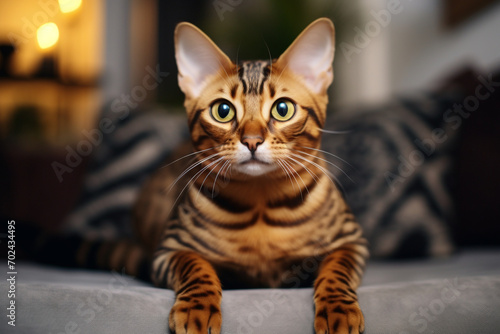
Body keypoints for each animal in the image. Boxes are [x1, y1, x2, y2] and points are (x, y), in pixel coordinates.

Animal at [131, 18, 370, 334]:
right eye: (222, 110)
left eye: (283, 109)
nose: (252, 141)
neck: (261, 203)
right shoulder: (169, 249)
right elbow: (196, 267)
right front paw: (196, 309)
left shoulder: (351, 242)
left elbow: (336, 271)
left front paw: (339, 310)